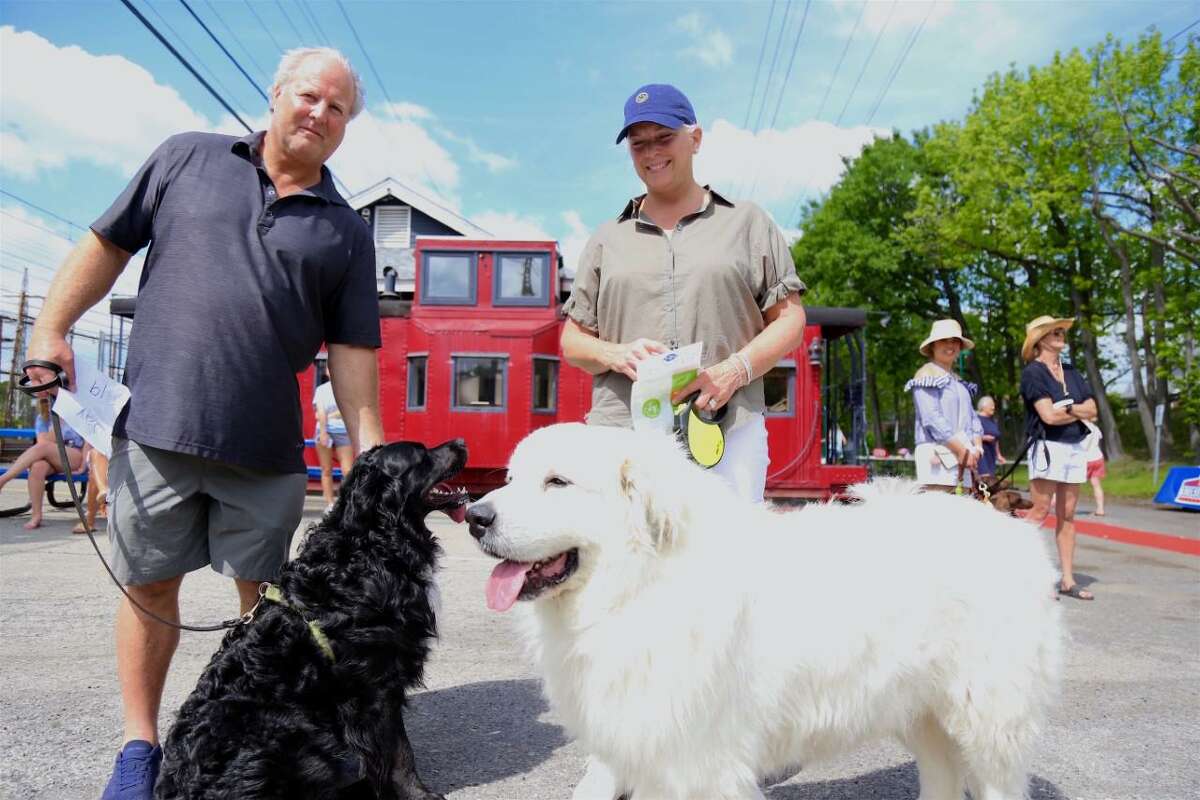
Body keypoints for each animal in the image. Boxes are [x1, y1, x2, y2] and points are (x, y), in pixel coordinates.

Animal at [151, 441, 468, 796]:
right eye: (422, 454)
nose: (460, 442)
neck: (369, 544)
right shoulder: (376, 685)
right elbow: (399, 752)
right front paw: (418, 793)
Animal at [463, 422, 1065, 796]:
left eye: (557, 482)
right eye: (511, 479)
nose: (473, 516)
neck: (639, 587)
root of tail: (1015, 532)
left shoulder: (699, 762)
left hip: (989, 716)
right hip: (921, 710)